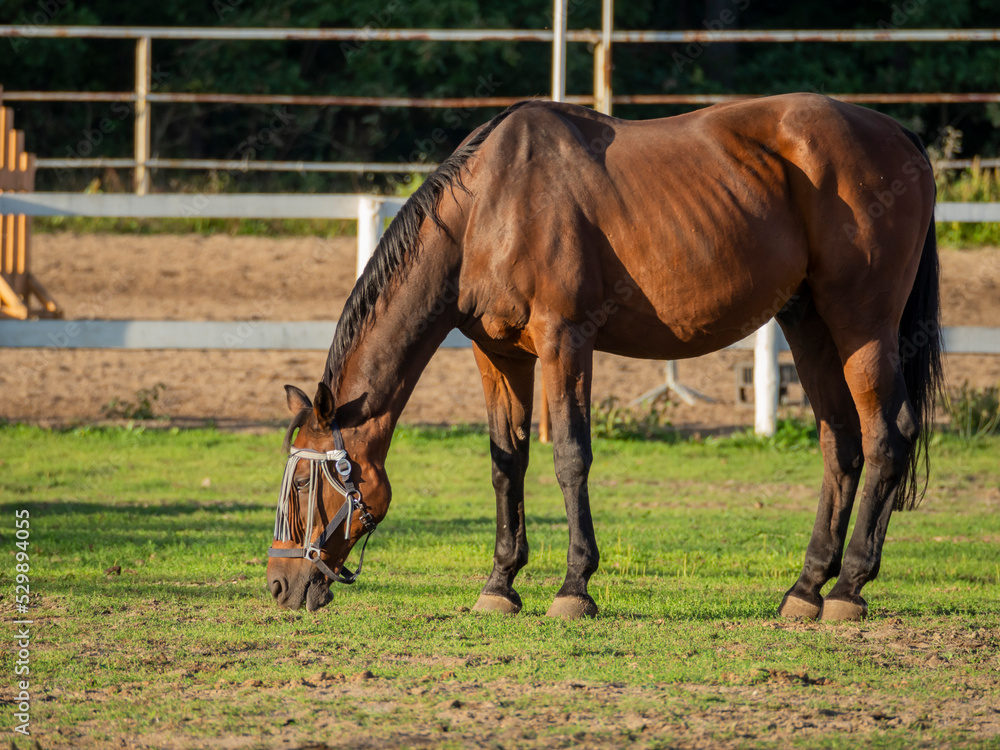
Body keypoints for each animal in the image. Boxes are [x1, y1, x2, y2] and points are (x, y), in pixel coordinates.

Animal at [264, 92, 936, 624]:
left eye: (303, 482)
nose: (278, 584)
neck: (490, 207)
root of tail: (898, 134)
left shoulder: (566, 341)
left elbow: (570, 456)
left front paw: (573, 587)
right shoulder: (499, 355)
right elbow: (506, 463)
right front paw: (500, 585)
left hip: (861, 325)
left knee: (887, 435)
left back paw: (849, 588)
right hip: (810, 324)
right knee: (840, 444)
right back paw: (806, 588)